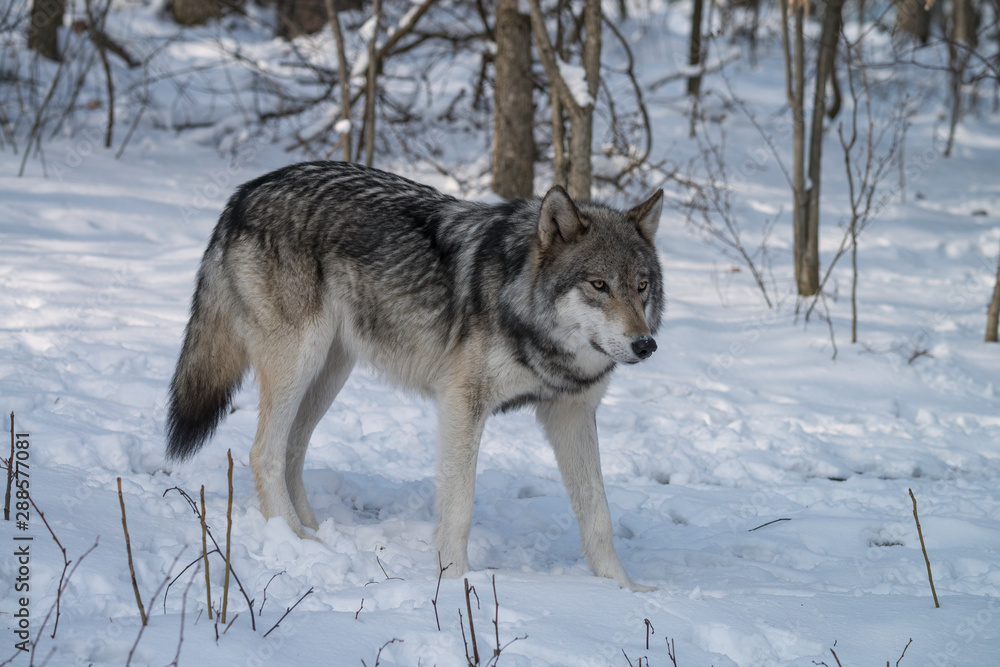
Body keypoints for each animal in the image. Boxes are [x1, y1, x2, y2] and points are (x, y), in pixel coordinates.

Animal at [164, 162, 664, 588]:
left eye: (641, 287)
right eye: (599, 285)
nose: (645, 345)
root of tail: (244, 193)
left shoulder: (572, 414)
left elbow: (598, 514)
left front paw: (622, 589)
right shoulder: (462, 403)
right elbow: (459, 507)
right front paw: (457, 582)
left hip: (329, 374)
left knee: (291, 451)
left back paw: (316, 533)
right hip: (298, 363)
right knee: (263, 453)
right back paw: (293, 538)